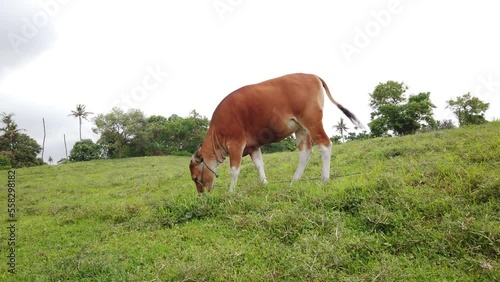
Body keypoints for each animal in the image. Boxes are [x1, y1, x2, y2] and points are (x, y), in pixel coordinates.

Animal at [189, 71, 362, 193]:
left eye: (196, 178)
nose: (202, 194)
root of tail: (312, 76)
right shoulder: (253, 147)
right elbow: (259, 165)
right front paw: (265, 184)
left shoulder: (236, 143)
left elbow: (234, 170)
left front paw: (231, 192)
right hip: (301, 128)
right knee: (305, 151)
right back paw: (294, 182)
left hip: (312, 121)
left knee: (325, 145)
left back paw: (323, 180)